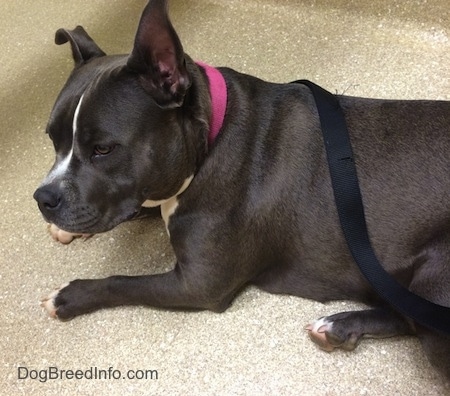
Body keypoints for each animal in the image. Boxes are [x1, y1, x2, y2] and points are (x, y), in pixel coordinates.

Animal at [35, 0, 450, 378]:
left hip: (432, 281)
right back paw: (340, 326)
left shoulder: (199, 283)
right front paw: (66, 231)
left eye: (103, 149)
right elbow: (145, 205)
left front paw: (70, 295)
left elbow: (121, 282)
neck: (210, 137)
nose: (43, 198)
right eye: (53, 138)